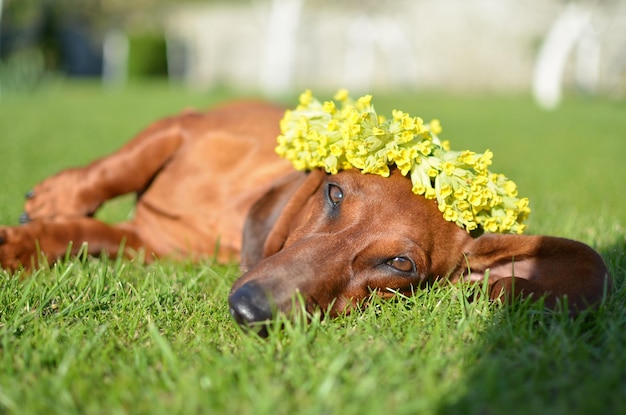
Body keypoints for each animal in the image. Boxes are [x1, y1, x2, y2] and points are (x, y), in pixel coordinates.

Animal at [0, 101, 608, 334]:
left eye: (399, 265)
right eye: (335, 193)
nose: (250, 310)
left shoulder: (147, 245)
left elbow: (85, 235)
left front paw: (26, 243)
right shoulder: (185, 125)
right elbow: (115, 170)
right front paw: (55, 198)